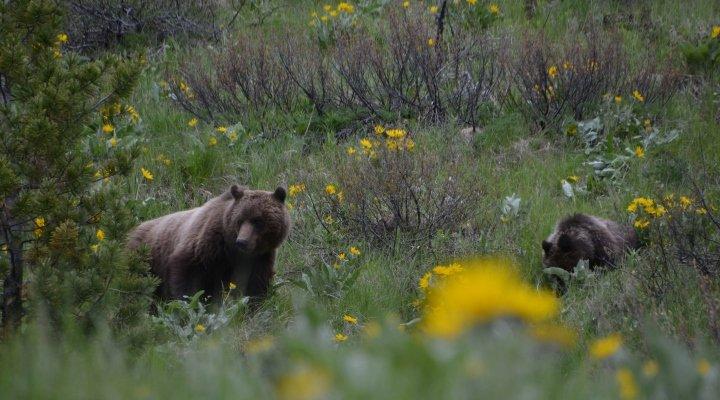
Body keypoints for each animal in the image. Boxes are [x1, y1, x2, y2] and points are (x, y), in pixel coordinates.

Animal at [127, 185, 290, 302]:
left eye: (258, 221)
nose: (242, 242)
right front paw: (188, 302)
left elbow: (256, 284)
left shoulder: (259, 258)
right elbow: (187, 276)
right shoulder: (207, 244)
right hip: (145, 259)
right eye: (240, 220)